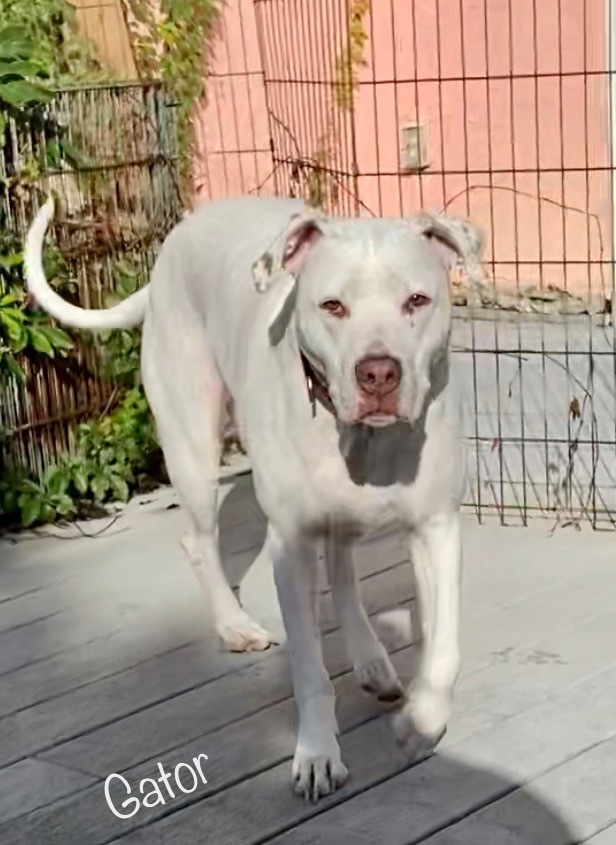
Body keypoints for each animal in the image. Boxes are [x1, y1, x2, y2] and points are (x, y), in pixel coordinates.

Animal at [26, 195, 484, 800]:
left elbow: (446, 646)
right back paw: (234, 626)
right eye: (332, 305)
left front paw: (423, 718)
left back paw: (370, 659)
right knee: (199, 542)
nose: (378, 373)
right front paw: (316, 754)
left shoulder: (437, 527)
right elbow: (309, 671)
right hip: (193, 445)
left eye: (417, 300)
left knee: (341, 567)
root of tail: (172, 248)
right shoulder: (289, 546)